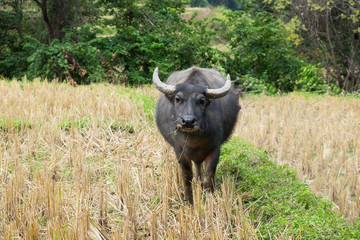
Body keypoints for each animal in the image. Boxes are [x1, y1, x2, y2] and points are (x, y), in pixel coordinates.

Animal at [153, 66, 240, 203]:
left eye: (201, 101)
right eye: (178, 99)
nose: (188, 121)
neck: (194, 140)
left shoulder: (215, 149)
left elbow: (209, 175)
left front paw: (209, 198)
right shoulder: (180, 151)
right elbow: (187, 176)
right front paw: (189, 200)